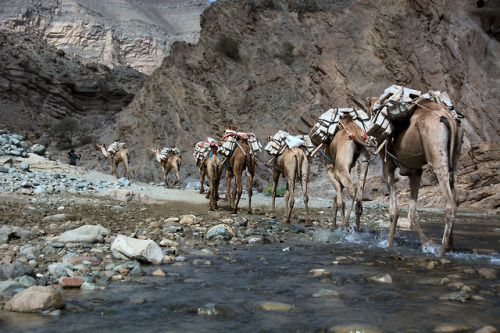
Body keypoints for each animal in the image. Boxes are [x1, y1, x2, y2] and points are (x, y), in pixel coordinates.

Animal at [368, 97, 464, 255]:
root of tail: (448, 117)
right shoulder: (415, 171)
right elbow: (412, 213)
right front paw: (425, 243)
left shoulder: (387, 165)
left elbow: (394, 211)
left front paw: (389, 244)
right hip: (455, 156)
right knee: (455, 194)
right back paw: (450, 245)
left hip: (436, 153)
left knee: (450, 204)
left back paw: (441, 251)